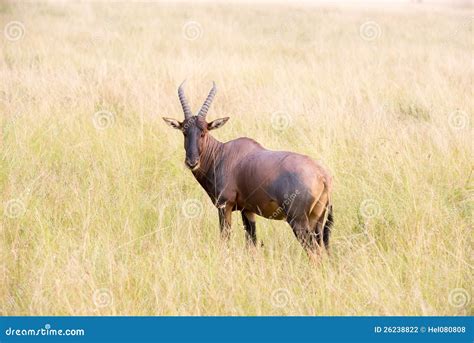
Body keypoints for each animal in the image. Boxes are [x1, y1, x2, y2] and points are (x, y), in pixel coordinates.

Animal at [163, 82, 334, 262]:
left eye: (204, 132)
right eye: (184, 132)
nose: (192, 162)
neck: (223, 153)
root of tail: (322, 175)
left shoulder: (225, 206)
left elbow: (225, 238)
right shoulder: (248, 210)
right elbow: (251, 242)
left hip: (298, 221)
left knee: (314, 253)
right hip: (317, 221)